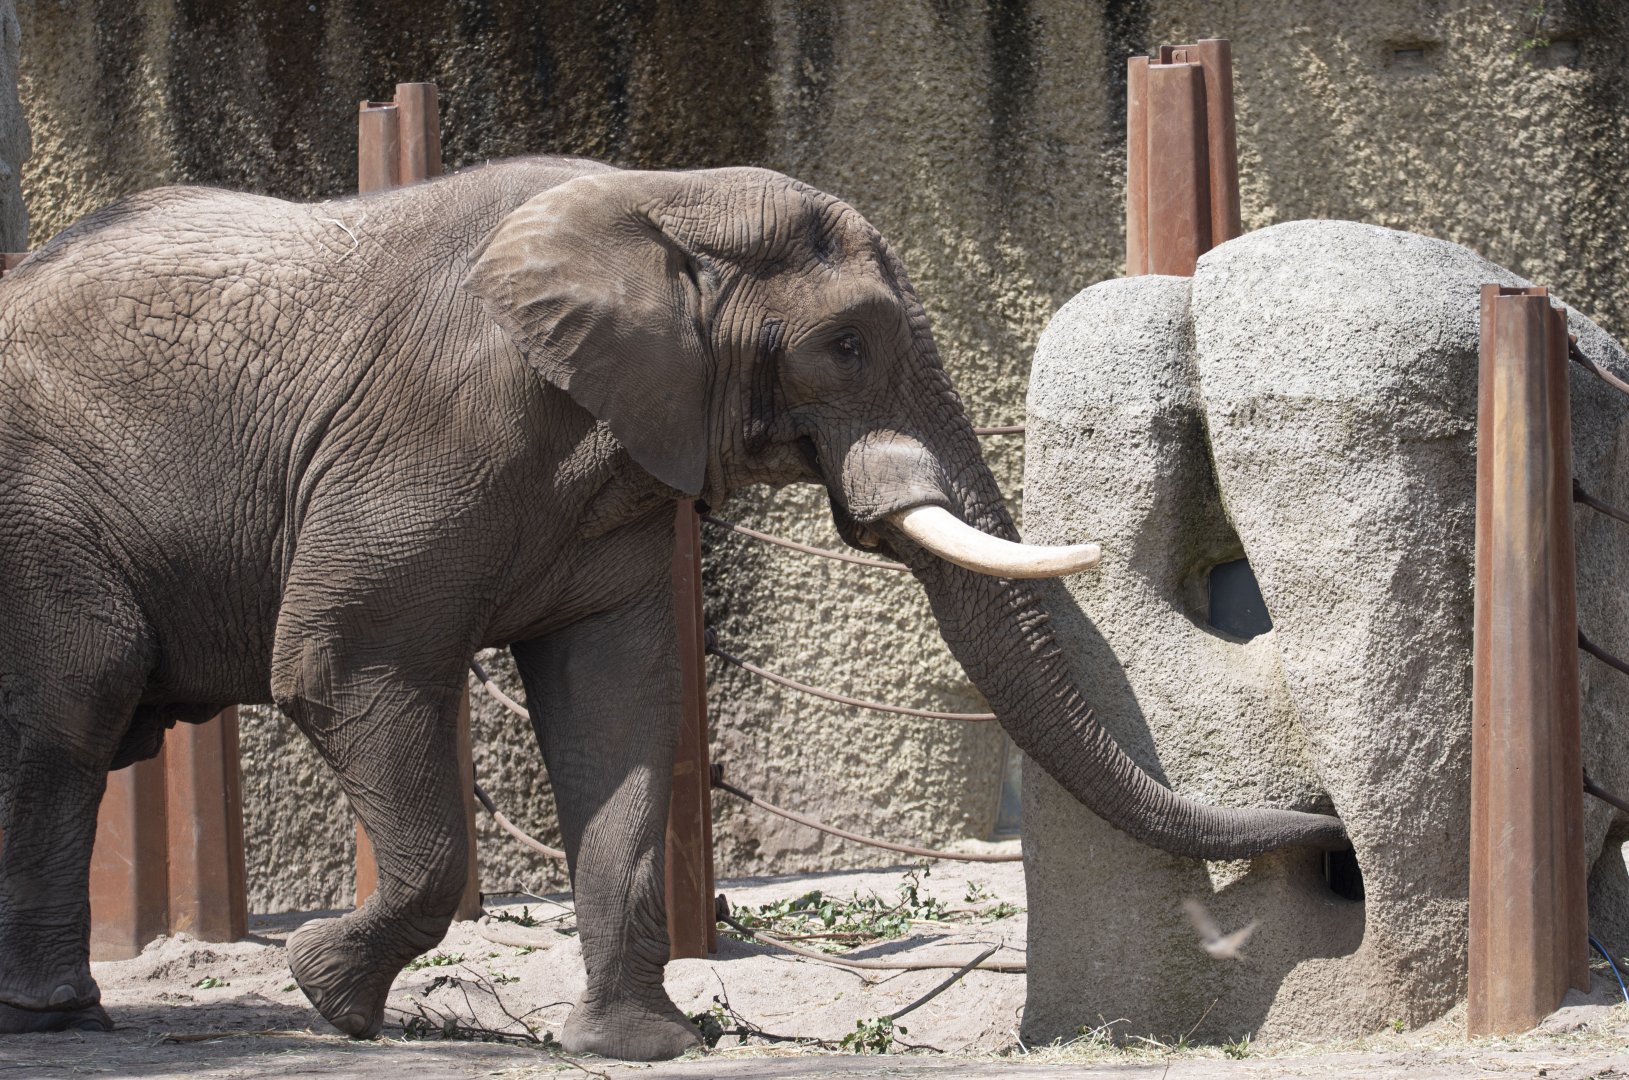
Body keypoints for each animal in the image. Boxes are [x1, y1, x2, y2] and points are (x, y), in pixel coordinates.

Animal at [0, 155, 1347, 1060]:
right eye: (848, 345)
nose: (1329, 835)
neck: (661, 195)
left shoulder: (630, 456)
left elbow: (620, 709)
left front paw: (644, 1046)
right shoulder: (431, 431)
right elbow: (343, 666)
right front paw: (330, 994)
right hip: (42, 506)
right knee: (78, 702)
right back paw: (59, 1016)